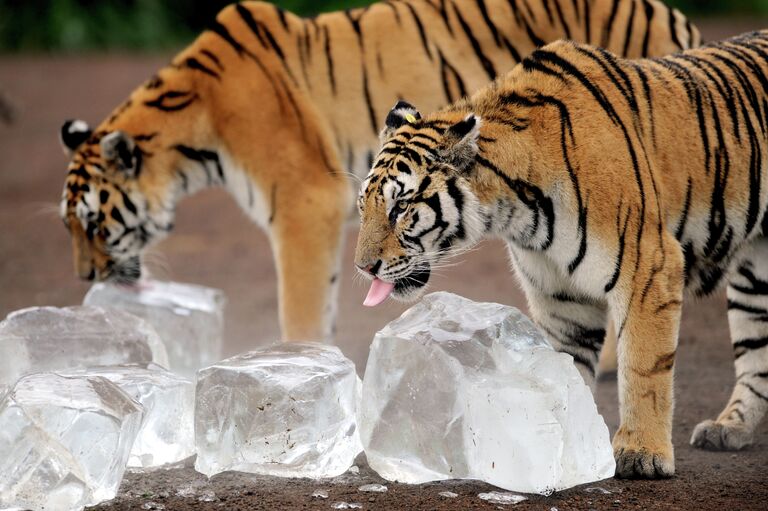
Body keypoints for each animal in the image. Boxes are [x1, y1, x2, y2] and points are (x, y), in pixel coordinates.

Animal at [57, 2, 700, 344]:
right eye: (69, 227)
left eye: (94, 222)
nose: (85, 276)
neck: (195, 126)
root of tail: (671, 15)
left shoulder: (304, 204)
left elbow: (300, 309)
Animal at [356, 30, 768, 480]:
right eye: (363, 206)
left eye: (400, 208)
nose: (363, 267)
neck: (517, 208)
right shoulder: (562, 295)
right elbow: (563, 372)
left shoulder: (650, 264)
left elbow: (643, 367)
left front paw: (642, 453)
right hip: (755, 277)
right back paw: (730, 429)